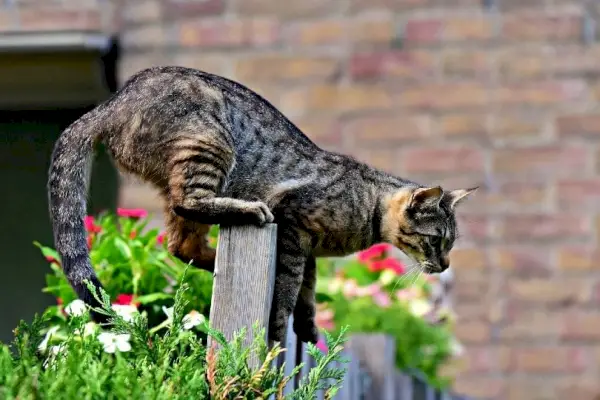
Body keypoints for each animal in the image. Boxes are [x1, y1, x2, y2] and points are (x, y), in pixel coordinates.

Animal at [47, 66, 478, 344]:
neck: (366, 205)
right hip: (208, 144)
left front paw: (308, 327)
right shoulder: (294, 227)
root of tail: (109, 104)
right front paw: (280, 326)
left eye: (449, 244)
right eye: (436, 241)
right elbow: (289, 289)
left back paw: (215, 261)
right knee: (190, 205)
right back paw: (248, 211)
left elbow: (308, 291)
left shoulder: (309, 250)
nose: (445, 265)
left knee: (180, 244)